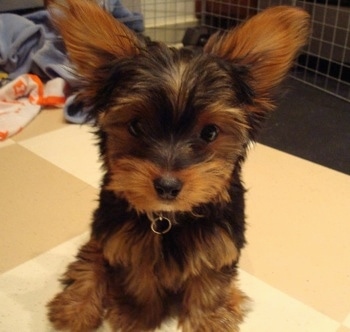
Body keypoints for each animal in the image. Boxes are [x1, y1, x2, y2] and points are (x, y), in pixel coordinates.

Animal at [46, 1, 308, 330]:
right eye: (136, 126)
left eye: (209, 133)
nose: (167, 186)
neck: (170, 218)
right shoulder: (127, 243)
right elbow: (138, 276)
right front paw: (138, 314)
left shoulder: (218, 243)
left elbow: (209, 282)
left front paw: (209, 319)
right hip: (104, 227)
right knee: (92, 256)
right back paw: (75, 307)